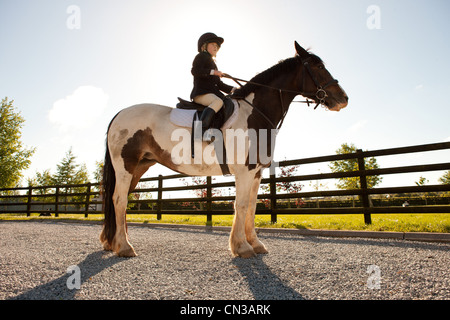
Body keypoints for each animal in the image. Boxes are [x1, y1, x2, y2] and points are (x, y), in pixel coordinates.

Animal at [101, 42, 348, 258]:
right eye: (318, 66)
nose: (343, 99)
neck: (255, 113)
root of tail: (120, 113)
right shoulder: (245, 171)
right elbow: (241, 205)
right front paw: (242, 247)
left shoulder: (256, 172)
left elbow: (252, 207)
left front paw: (255, 244)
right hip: (125, 166)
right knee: (119, 200)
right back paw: (124, 247)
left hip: (138, 167)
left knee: (121, 200)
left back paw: (114, 242)